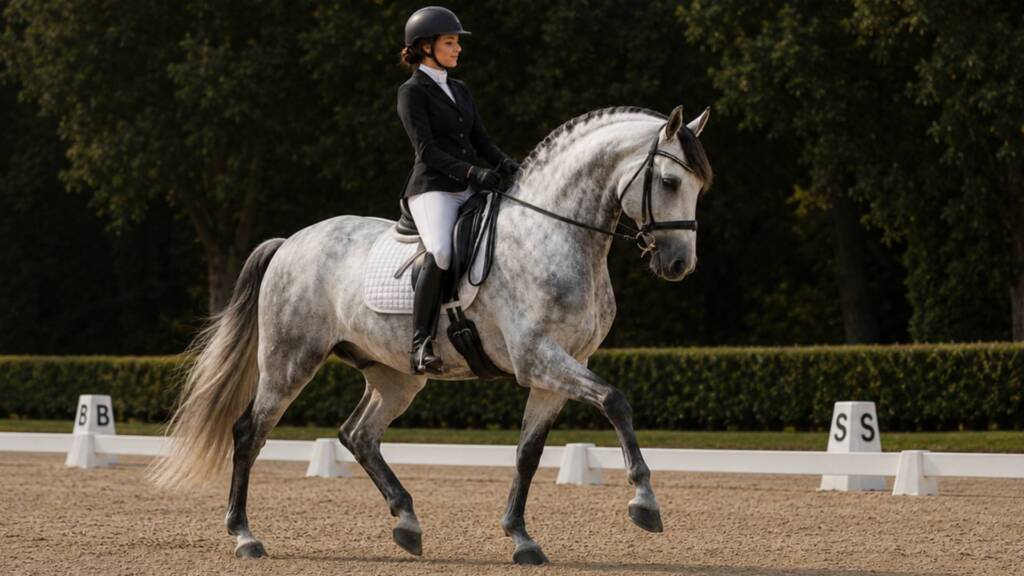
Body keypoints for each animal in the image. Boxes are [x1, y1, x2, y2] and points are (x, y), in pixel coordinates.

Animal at [148, 104, 713, 565]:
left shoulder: (556, 370)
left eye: (698, 187)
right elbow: (616, 400)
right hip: (290, 361)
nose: (679, 265)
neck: (554, 235)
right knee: (250, 432)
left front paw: (521, 539)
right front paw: (644, 503)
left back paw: (407, 522)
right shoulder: (539, 358)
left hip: (396, 375)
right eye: (668, 181)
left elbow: (528, 453)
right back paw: (245, 535)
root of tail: (291, 241)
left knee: (358, 434)